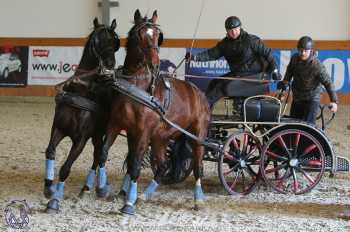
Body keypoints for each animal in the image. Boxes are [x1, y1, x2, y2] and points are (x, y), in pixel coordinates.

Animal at [44, 17, 120, 214]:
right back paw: (89, 187)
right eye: (98, 40)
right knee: (98, 154)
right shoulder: (58, 128)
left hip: (102, 133)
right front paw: (48, 187)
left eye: (115, 42)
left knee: (98, 156)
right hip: (96, 135)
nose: (110, 63)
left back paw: (93, 188)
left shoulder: (81, 139)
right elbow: (50, 151)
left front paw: (54, 200)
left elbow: (65, 168)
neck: (81, 89)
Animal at [100, 9, 211, 216]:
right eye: (139, 35)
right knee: (164, 165)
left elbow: (135, 164)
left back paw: (198, 199)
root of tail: (198, 92)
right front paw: (106, 189)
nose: (155, 62)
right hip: (161, 137)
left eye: (158, 36)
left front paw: (128, 203)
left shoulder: (143, 132)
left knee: (197, 165)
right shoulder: (119, 126)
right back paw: (145, 194)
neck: (137, 87)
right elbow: (106, 154)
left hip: (198, 134)